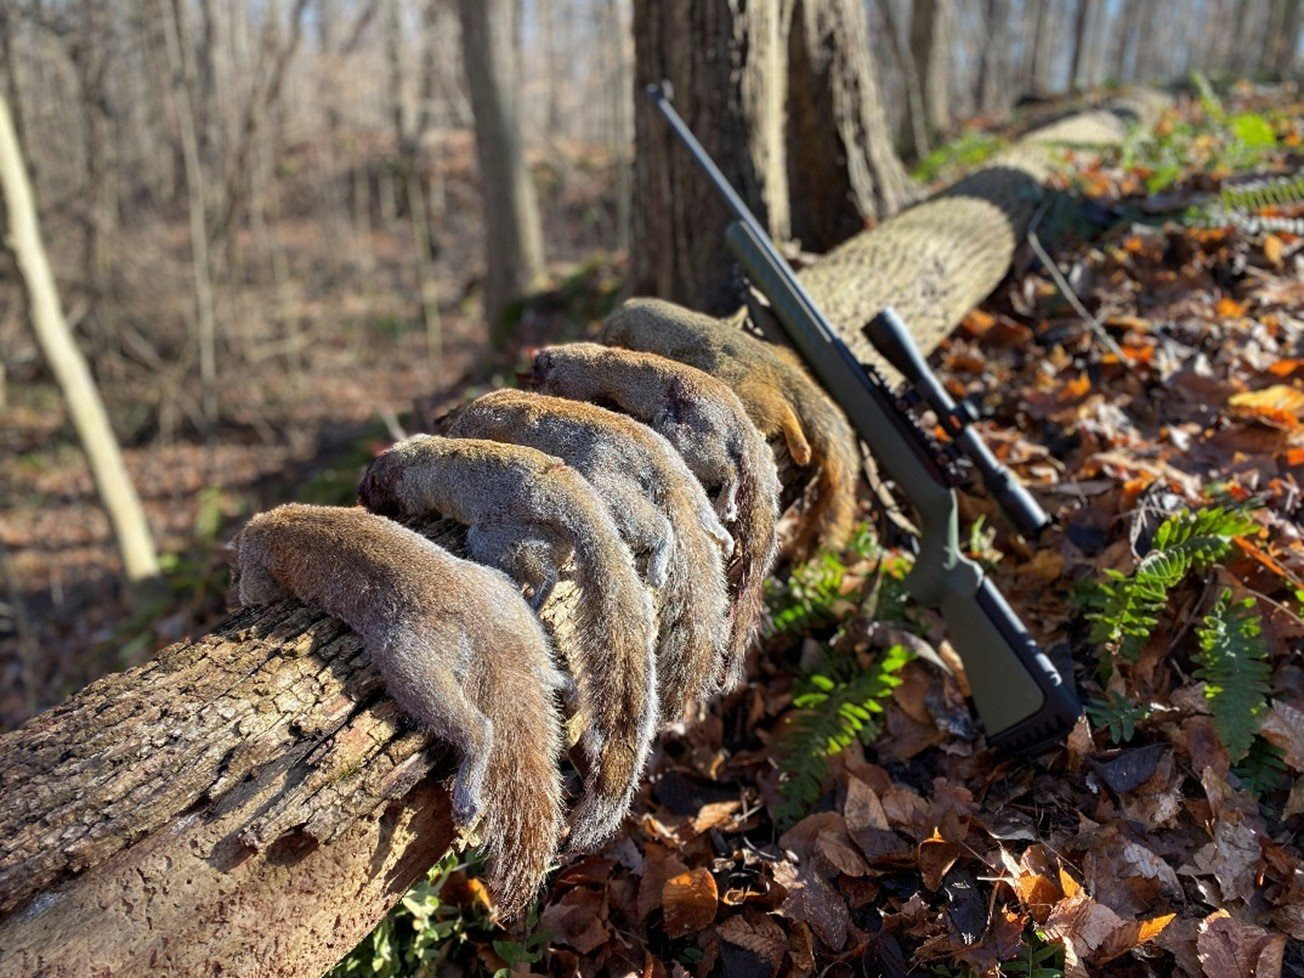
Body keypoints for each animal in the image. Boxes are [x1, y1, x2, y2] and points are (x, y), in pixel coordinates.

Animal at [233, 503, 564, 917]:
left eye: (237, 573)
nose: (235, 592)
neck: (273, 520)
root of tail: (485, 625)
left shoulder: (261, 567)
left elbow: (260, 590)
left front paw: (246, 599)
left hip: (410, 660)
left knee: (477, 727)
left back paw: (468, 789)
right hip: (512, 607)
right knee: (544, 668)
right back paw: (562, 681)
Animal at [356, 434, 657, 852]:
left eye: (369, 486)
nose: (358, 497)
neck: (410, 456)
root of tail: (565, 489)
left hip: (493, 535)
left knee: (541, 571)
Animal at [447, 388, 733, 719]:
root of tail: (648, 446)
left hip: (605, 479)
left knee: (658, 526)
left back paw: (659, 560)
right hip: (679, 473)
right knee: (699, 504)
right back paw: (721, 534)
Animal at [526, 343, 779, 690]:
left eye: (538, 366)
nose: (530, 373)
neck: (579, 355)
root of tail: (735, 412)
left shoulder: (579, 382)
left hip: (688, 432)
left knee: (727, 468)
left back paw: (726, 503)